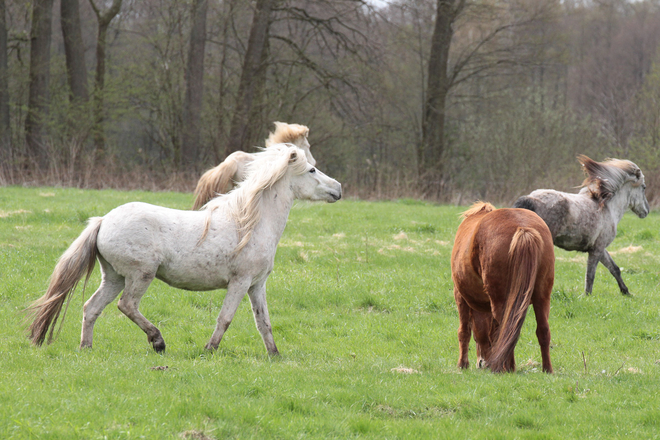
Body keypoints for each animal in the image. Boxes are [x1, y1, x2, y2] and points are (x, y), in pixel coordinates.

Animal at [28, 144, 342, 354]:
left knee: (91, 308)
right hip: (141, 275)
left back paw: (87, 348)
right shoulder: (239, 282)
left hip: (114, 277)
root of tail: (103, 221)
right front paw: (209, 350)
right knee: (126, 305)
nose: (338, 188)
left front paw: (274, 355)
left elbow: (263, 322)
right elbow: (225, 318)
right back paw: (157, 341)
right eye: (311, 169)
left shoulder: (256, 285)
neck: (250, 223)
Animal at [452, 202, 556, 372]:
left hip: (502, 300)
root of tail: (523, 228)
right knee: (542, 330)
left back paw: (506, 368)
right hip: (542, 297)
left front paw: (462, 364)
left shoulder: (460, 296)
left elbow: (465, 332)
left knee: (506, 329)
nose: (482, 363)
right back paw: (546, 369)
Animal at [510, 155, 648, 296]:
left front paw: (626, 292)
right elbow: (590, 275)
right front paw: (587, 295)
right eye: (643, 187)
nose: (646, 211)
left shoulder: (599, 248)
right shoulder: (597, 250)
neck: (608, 208)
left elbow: (614, 268)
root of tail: (530, 199)